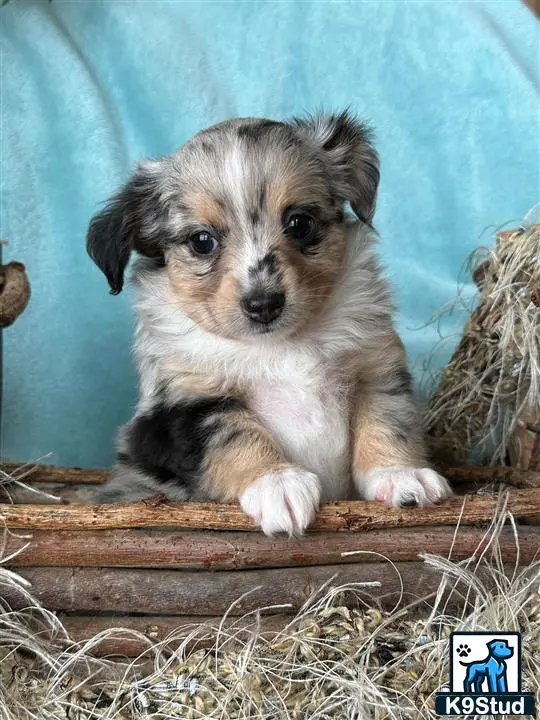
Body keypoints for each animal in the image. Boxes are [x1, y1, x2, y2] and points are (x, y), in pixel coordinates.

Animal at [87, 108, 452, 536]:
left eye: (299, 223)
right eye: (201, 241)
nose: (263, 304)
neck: (280, 346)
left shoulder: (376, 367)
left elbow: (388, 418)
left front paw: (401, 474)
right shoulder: (185, 403)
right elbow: (235, 434)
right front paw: (277, 483)